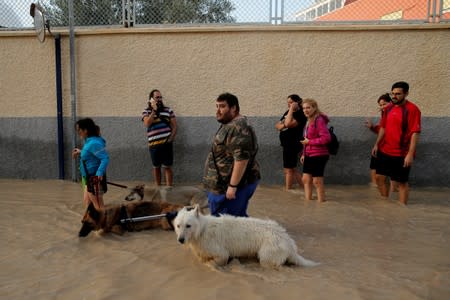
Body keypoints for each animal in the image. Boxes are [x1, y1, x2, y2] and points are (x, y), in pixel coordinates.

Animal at [173, 205, 320, 268]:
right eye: (178, 225)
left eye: (188, 225)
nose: (180, 240)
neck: (202, 230)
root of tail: (288, 241)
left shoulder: (221, 252)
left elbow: (216, 260)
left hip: (267, 252)